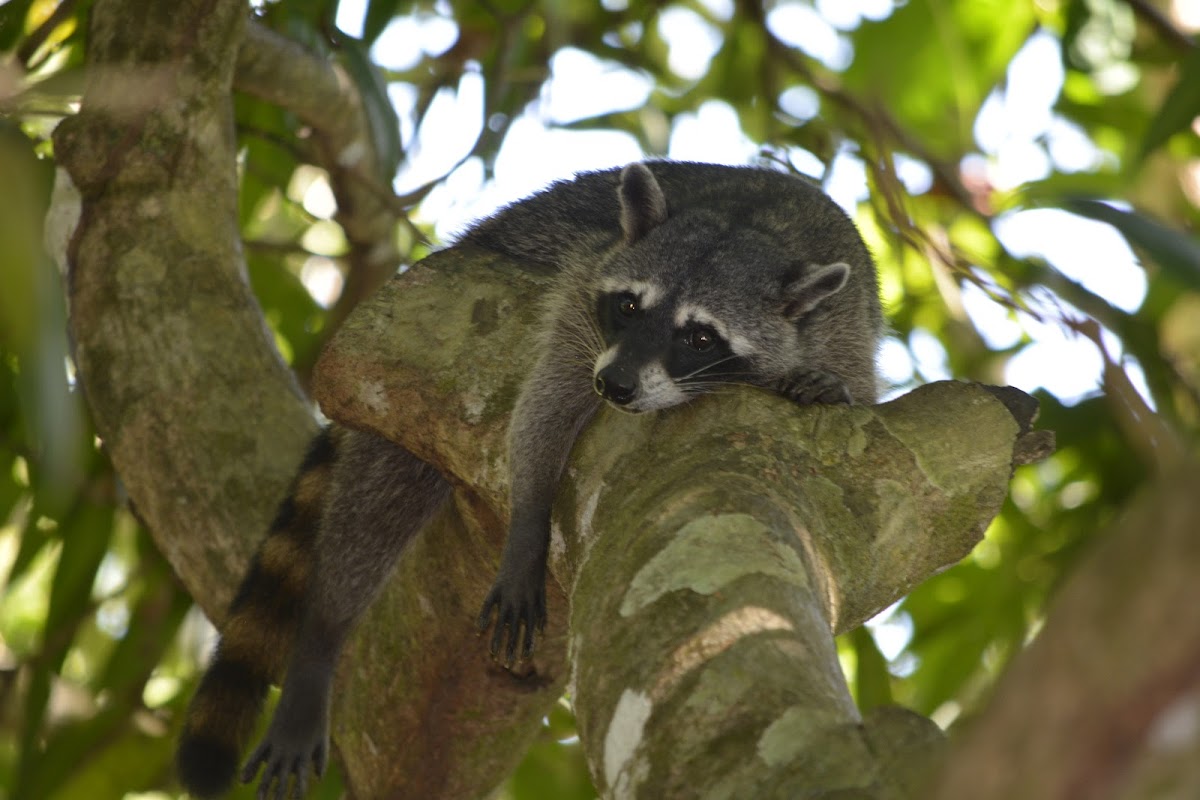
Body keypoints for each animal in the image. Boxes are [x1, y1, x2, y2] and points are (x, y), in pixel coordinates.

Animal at [175, 159, 883, 796]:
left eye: (701, 337)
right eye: (630, 305)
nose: (616, 385)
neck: (750, 224)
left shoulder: (846, 330)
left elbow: (847, 386)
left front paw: (821, 383)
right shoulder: (580, 293)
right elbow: (543, 407)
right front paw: (527, 526)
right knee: (377, 497)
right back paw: (323, 634)